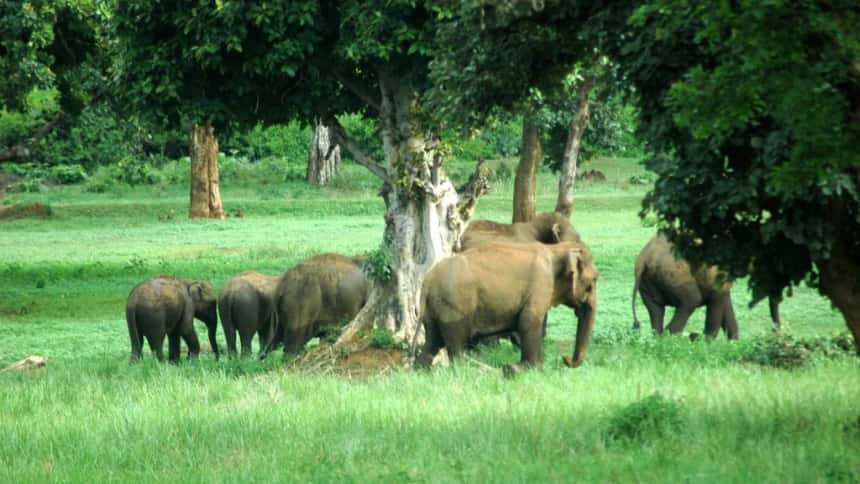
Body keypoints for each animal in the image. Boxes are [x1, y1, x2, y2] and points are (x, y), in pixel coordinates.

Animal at [416, 242, 596, 374]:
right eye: (592, 283)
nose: (565, 358)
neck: (555, 248)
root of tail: (428, 279)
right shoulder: (541, 284)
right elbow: (529, 321)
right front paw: (528, 370)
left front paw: (532, 369)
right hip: (453, 306)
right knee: (456, 346)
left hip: (434, 309)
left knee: (432, 342)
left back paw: (421, 372)